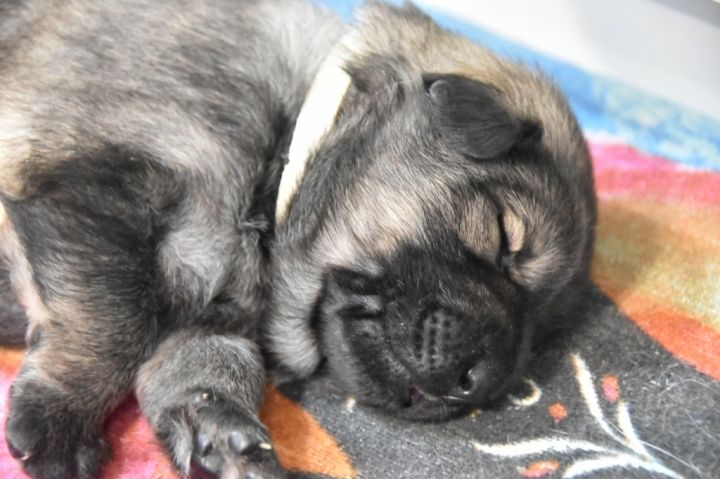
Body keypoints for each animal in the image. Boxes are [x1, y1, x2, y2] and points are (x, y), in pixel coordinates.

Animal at [0, 0, 597, 477]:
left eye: (541, 335)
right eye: (502, 236)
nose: (478, 381)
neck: (286, 149)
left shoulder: (208, 317)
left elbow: (204, 364)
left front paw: (226, 434)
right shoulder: (97, 185)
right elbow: (115, 322)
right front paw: (61, 418)